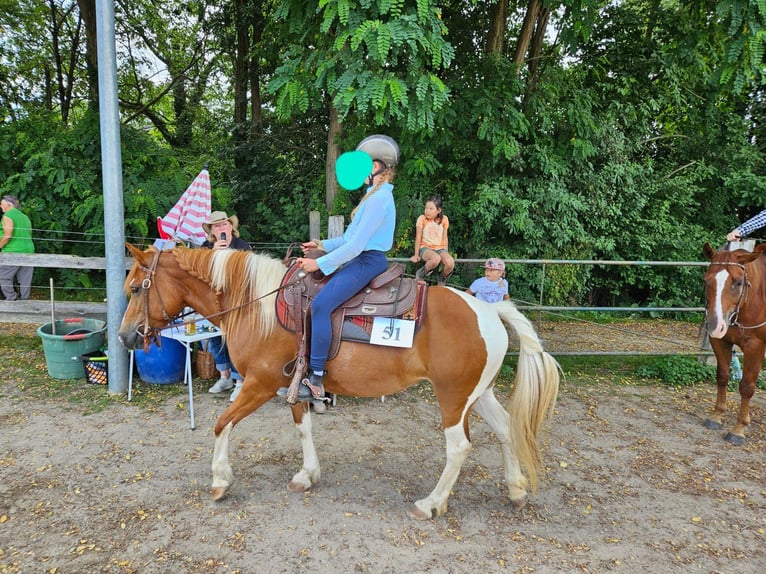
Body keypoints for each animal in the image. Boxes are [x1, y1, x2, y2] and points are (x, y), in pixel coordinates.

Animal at [118, 245, 564, 520]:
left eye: (137, 287)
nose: (124, 338)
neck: (256, 304)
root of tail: (488, 310)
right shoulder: (292, 385)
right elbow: (303, 427)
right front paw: (306, 475)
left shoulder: (259, 384)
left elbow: (221, 423)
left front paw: (219, 479)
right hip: (479, 393)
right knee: (505, 430)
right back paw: (515, 490)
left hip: (453, 399)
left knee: (458, 448)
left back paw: (430, 504)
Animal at [704, 243, 764, 446]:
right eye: (706, 280)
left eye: (738, 282)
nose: (714, 325)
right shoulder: (720, 340)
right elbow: (722, 376)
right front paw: (716, 416)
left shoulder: (755, 347)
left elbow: (746, 386)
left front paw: (739, 429)